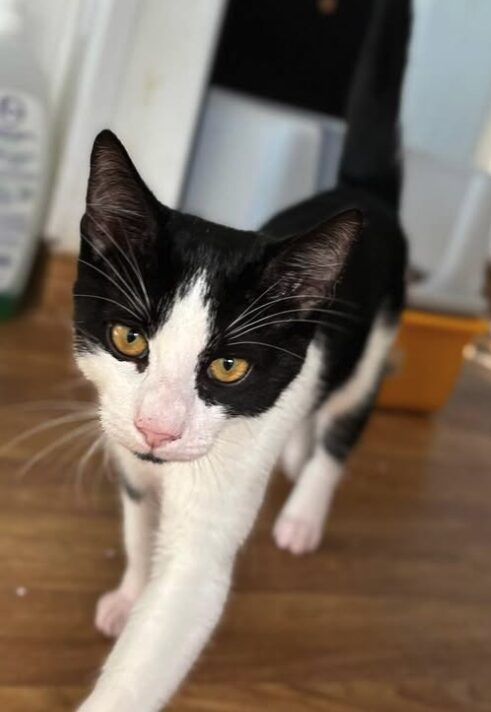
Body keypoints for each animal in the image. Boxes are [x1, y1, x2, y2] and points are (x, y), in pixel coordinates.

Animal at [74, 2, 412, 708]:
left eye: (228, 367)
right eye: (129, 339)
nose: (157, 428)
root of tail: (362, 192)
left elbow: (171, 616)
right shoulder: (128, 458)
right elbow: (138, 527)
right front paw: (129, 594)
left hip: (378, 339)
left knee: (345, 420)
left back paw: (304, 511)